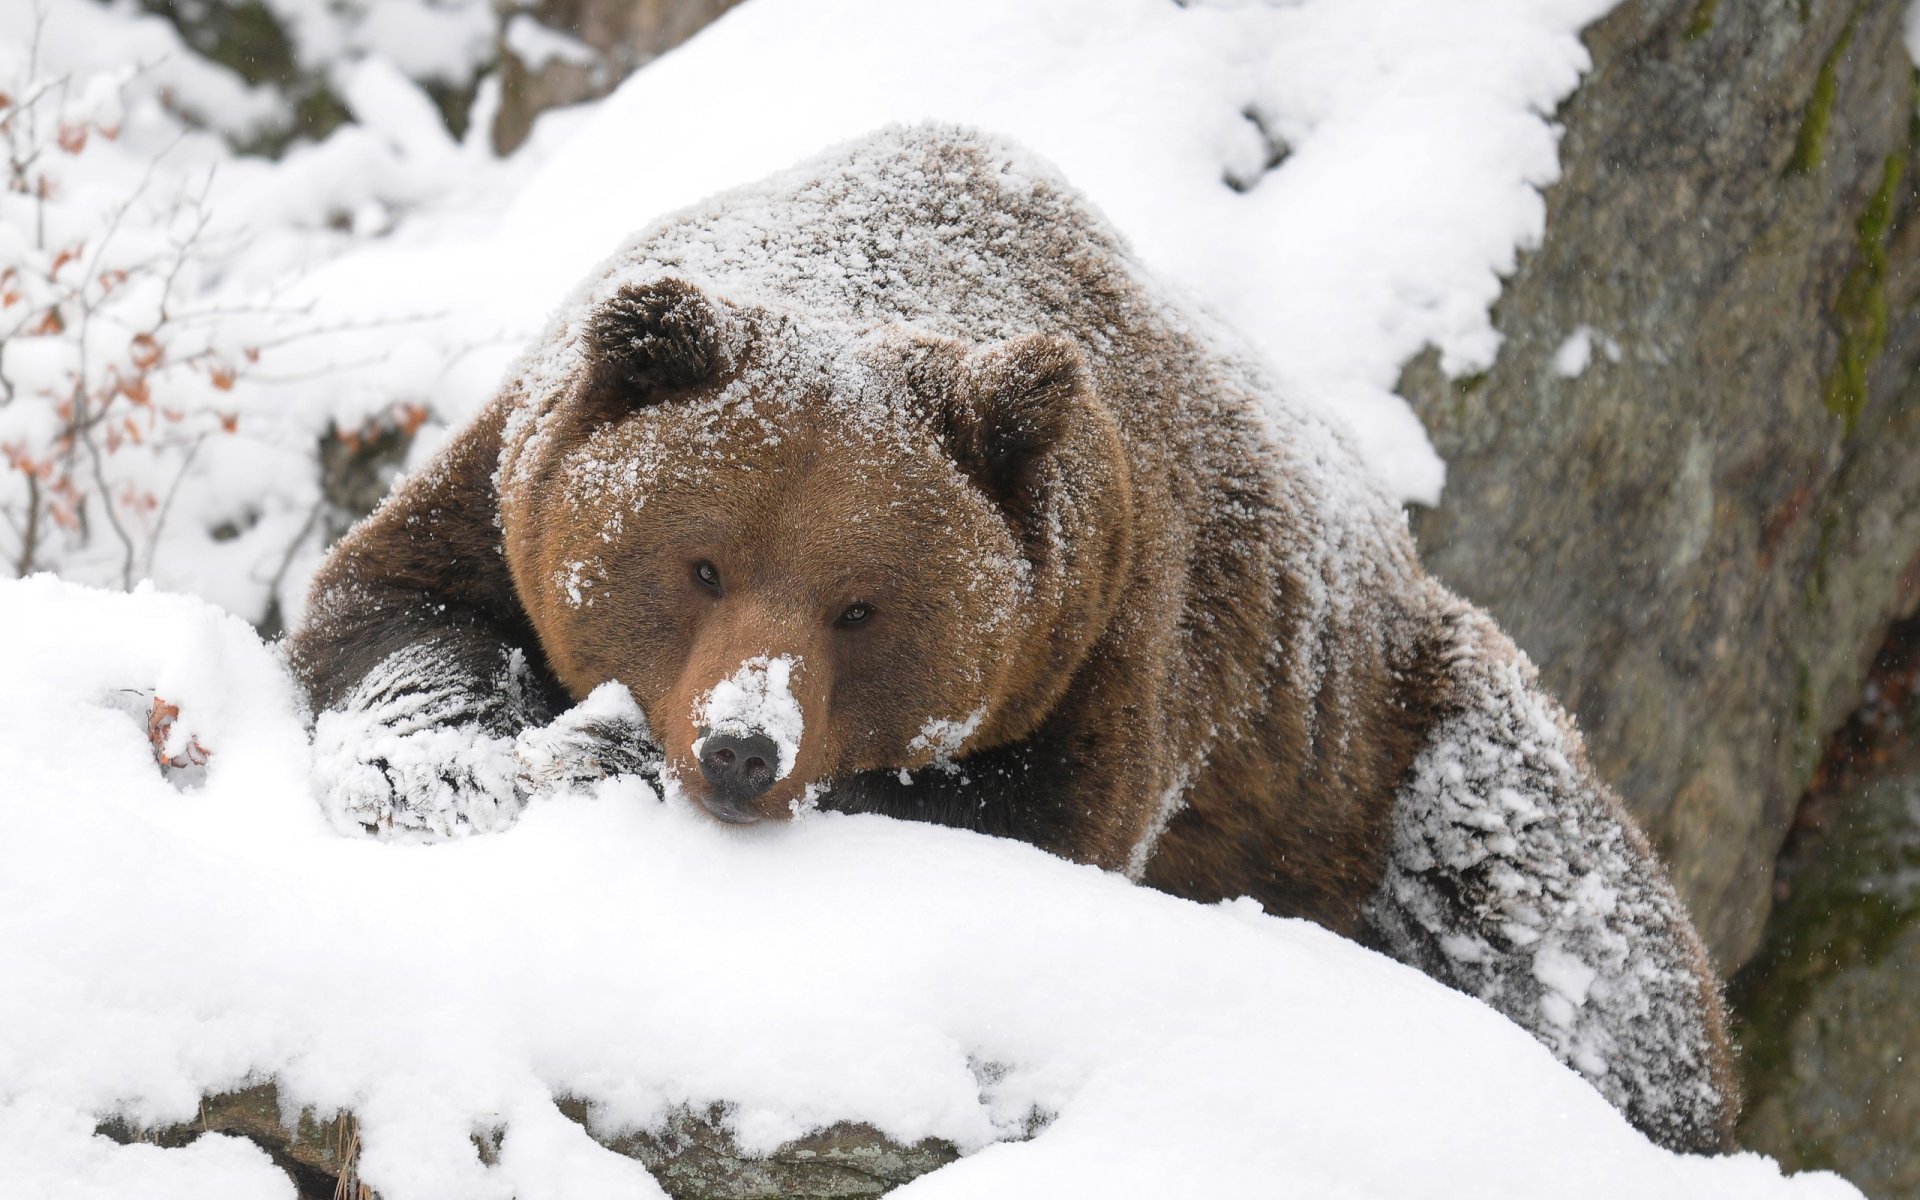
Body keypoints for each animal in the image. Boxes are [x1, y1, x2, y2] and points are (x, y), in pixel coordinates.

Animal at [288, 123, 1738, 1153]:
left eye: (862, 604)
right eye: (700, 563)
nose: (744, 748)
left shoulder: (1111, 642)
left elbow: (1017, 821)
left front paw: (600, 754)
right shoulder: (501, 485)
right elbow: (391, 612)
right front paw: (440, 763)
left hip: (1390, 749)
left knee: (1565, 926)